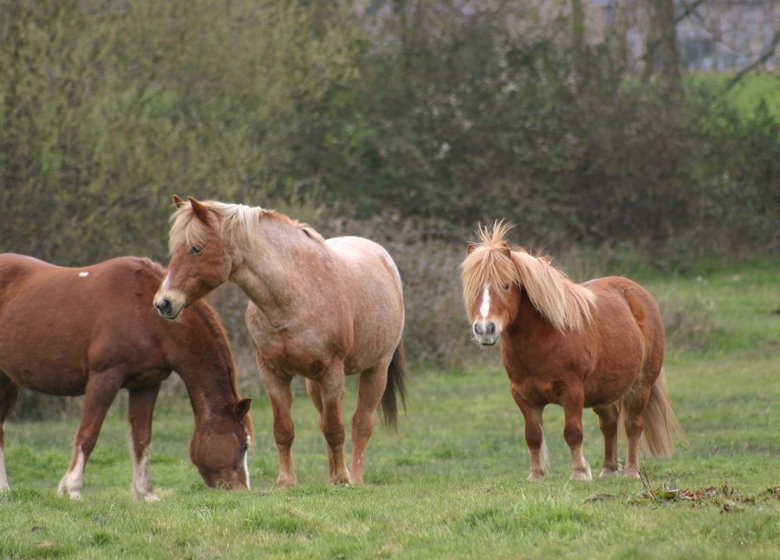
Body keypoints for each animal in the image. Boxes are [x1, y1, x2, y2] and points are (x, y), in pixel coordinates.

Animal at [0, 254, 251, 498]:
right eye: (243, 445)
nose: (242, 490)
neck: (146, 313)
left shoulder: (147, 384)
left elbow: (142, 439)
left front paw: (145, 493)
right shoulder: (104, 378)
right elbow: (88, 435)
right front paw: (72, 489)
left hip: (8, 382)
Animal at [155, 196, 406, 486]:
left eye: (196, 248)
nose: (163, 302)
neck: (293, 296)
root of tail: (382, 255)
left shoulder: (333, 373)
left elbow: (336, 430)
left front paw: (342, 481)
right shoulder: (272, 374)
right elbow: (285, 430)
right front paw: (286, 481)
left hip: (376, 370)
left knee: (361, 424)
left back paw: (353, 478)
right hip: (313, 383)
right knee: (325, 421)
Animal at [460, 223, 680, 482]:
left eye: (506, 285)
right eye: (472, 288)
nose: (485, 329)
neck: (546, 337)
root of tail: (638, 293)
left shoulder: (572, 392)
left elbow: (573, 432)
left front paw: (580, 473)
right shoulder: (523, 396)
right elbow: (532, 435)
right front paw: (536, 475)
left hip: (640, 387)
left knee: (632, 425)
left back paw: (631, 471)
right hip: (603, 391)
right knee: (609, 424)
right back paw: (608, 470)